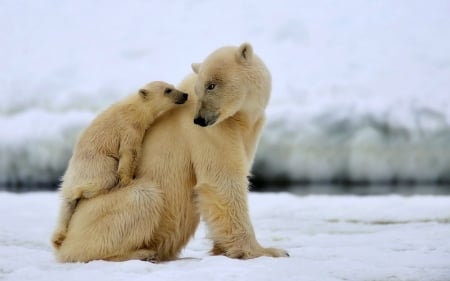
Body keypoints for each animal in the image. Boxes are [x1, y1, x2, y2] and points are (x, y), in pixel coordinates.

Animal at [51, 80, 188, 247]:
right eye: (167, 90)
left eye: (173, 87)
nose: (185, 95)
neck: (135, 108)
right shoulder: (129, 128)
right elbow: (129, 151)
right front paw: (128, 180)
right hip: (97, 164)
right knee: (103, 177)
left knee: (67, 203)